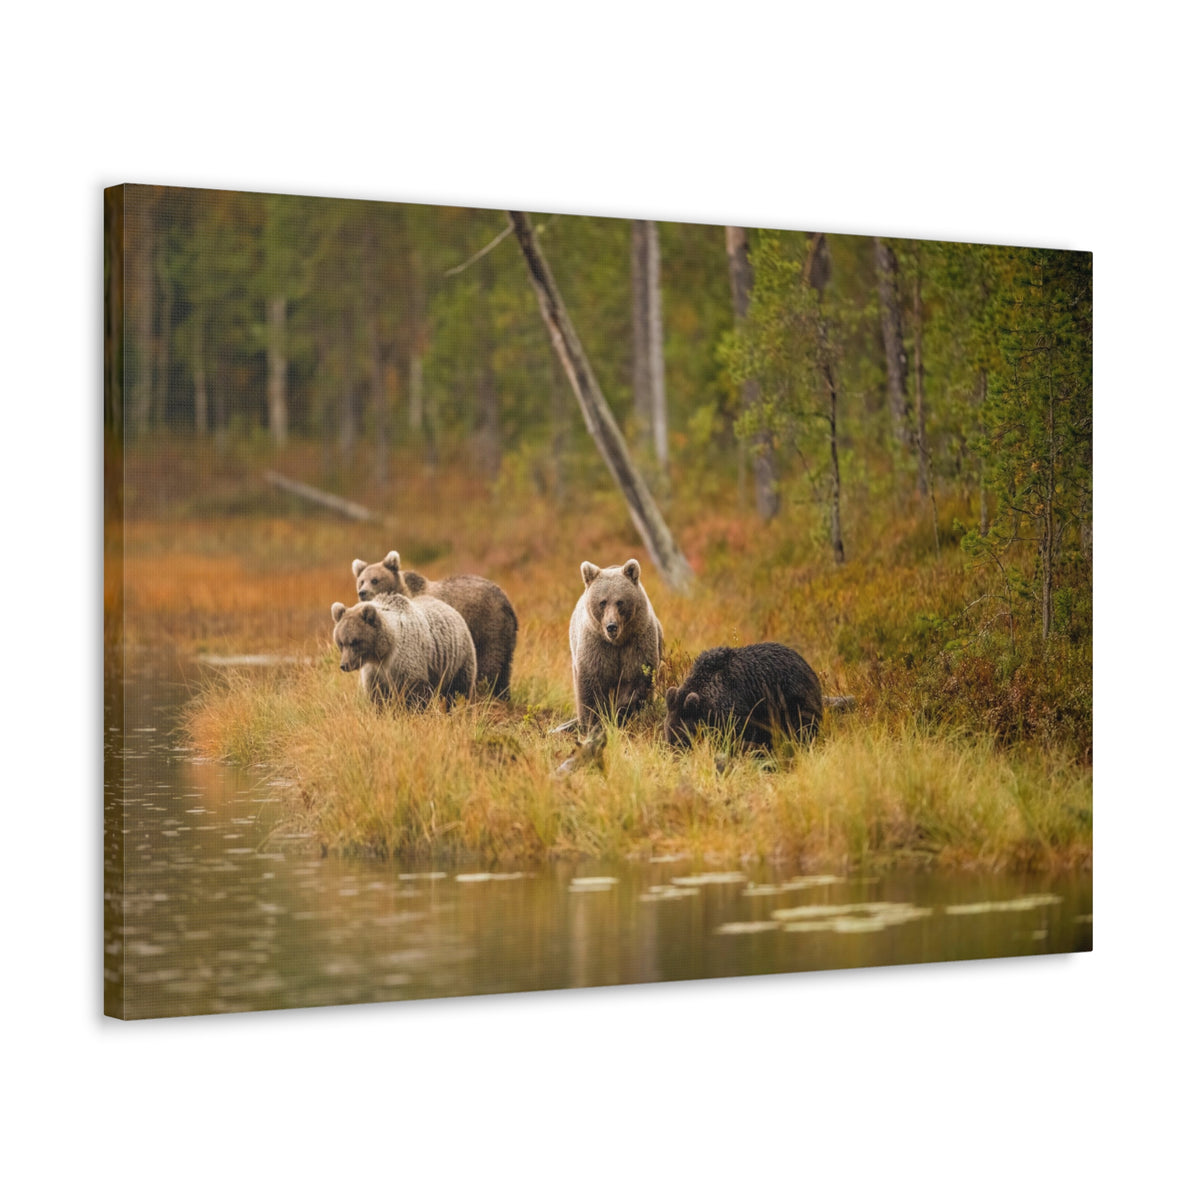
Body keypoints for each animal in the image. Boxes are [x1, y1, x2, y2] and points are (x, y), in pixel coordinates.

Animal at [331, 592, 476, 708]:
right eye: (341, 642)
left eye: (355, 642)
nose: (344, 665)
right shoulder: (374, 672)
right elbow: (377, 696)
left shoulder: (405, 659)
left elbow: (414, 693)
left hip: (457, 660)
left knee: (459, 690)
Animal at [352, 551, 518, 700]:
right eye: (361, 581)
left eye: (375, 580)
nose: (362, 592)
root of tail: (506, 600)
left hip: (487, 627)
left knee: (488, 666)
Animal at [569, 558, 663, 730]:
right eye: (602, 602)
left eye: (620, 602)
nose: (611, 626)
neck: (618, 641)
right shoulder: (597, 645)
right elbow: (592, 684)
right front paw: (594, 722)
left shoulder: (636, 643)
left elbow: (634, 681)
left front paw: (622, 714)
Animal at [663, 642, 823, 750]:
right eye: (668, 733)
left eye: (681, 734)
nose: (674, 751)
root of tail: (807, 666)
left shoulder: (737, 709)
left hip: (793, 699)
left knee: (802, 727)